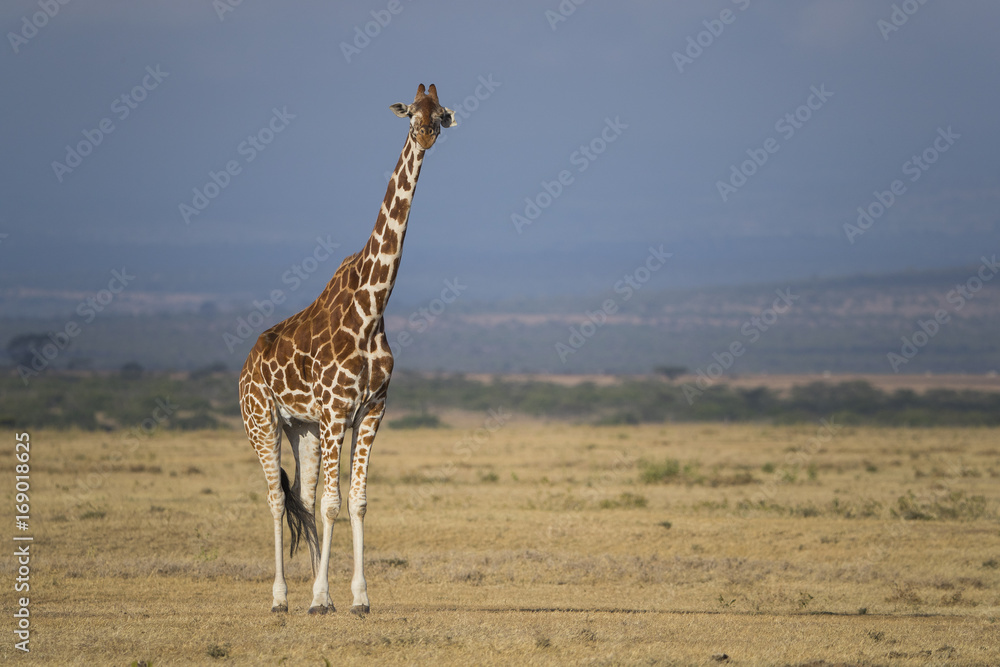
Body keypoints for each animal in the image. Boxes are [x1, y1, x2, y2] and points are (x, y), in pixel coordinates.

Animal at [239, 84, 455, 615]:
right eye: (410, 114)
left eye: (440, 113)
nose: (426, 134)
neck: (372, 307)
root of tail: (247, 362)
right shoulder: (337, 411)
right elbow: (332, 503)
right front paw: (320, 599)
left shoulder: (371, 410)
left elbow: (354, 500)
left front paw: (356, 597)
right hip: (262, 420)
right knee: (277, 498)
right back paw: (280, 599)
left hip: (303, 428)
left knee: (304, 492)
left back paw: (317, 593)